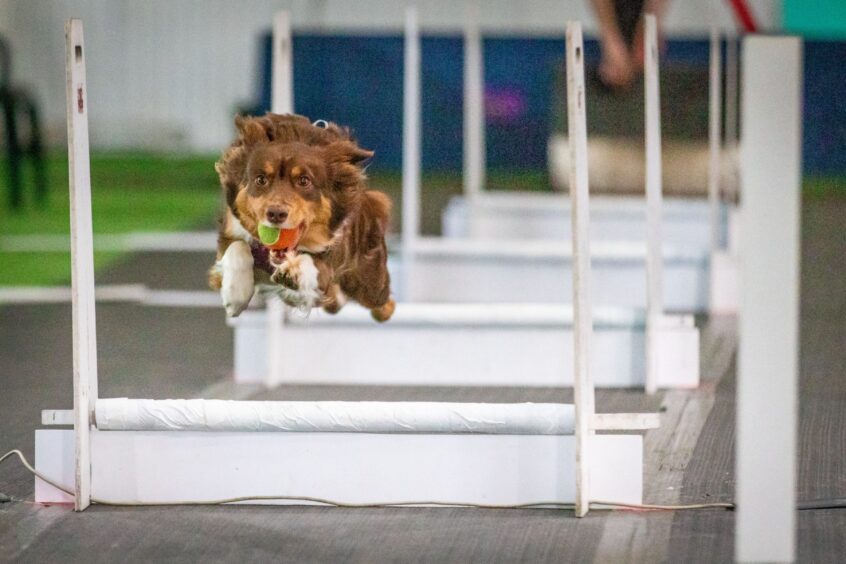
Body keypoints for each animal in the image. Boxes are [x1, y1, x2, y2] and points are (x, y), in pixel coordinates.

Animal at [212, 113, 398, 322]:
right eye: (260, 179)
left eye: (304, 181)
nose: (276, 214)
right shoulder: (230, 230)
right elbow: (237, 247)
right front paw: (235, 295)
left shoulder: (329, 258)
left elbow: (312, 264)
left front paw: (294, 271)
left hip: (370, 284)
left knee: (382, 304)